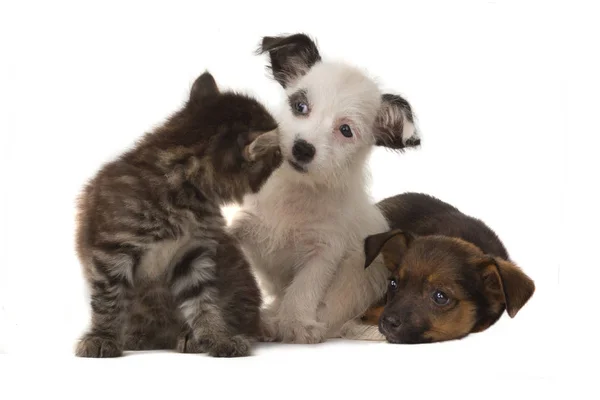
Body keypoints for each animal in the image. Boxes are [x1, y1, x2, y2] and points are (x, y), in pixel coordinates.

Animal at [227, 33, 420, 344]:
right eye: (300, 106)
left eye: (346, 130)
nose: (302, 148)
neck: (296, 191)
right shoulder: (238, 225)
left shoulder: (324, 250)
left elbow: (305, 288)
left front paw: (295, 323)